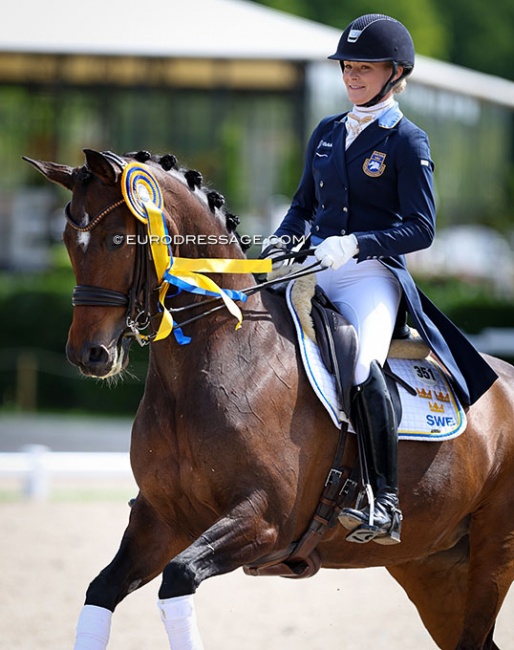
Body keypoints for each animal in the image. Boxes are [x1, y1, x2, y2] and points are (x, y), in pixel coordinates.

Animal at [25, 147, 514, 648]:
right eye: (67, 241)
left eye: (117, 241)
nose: (89, 354)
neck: (219, 353)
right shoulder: (160, 520)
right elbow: (102, 589)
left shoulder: (263, 520)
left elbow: (180, 576)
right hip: (431, 565)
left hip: (494, 551)